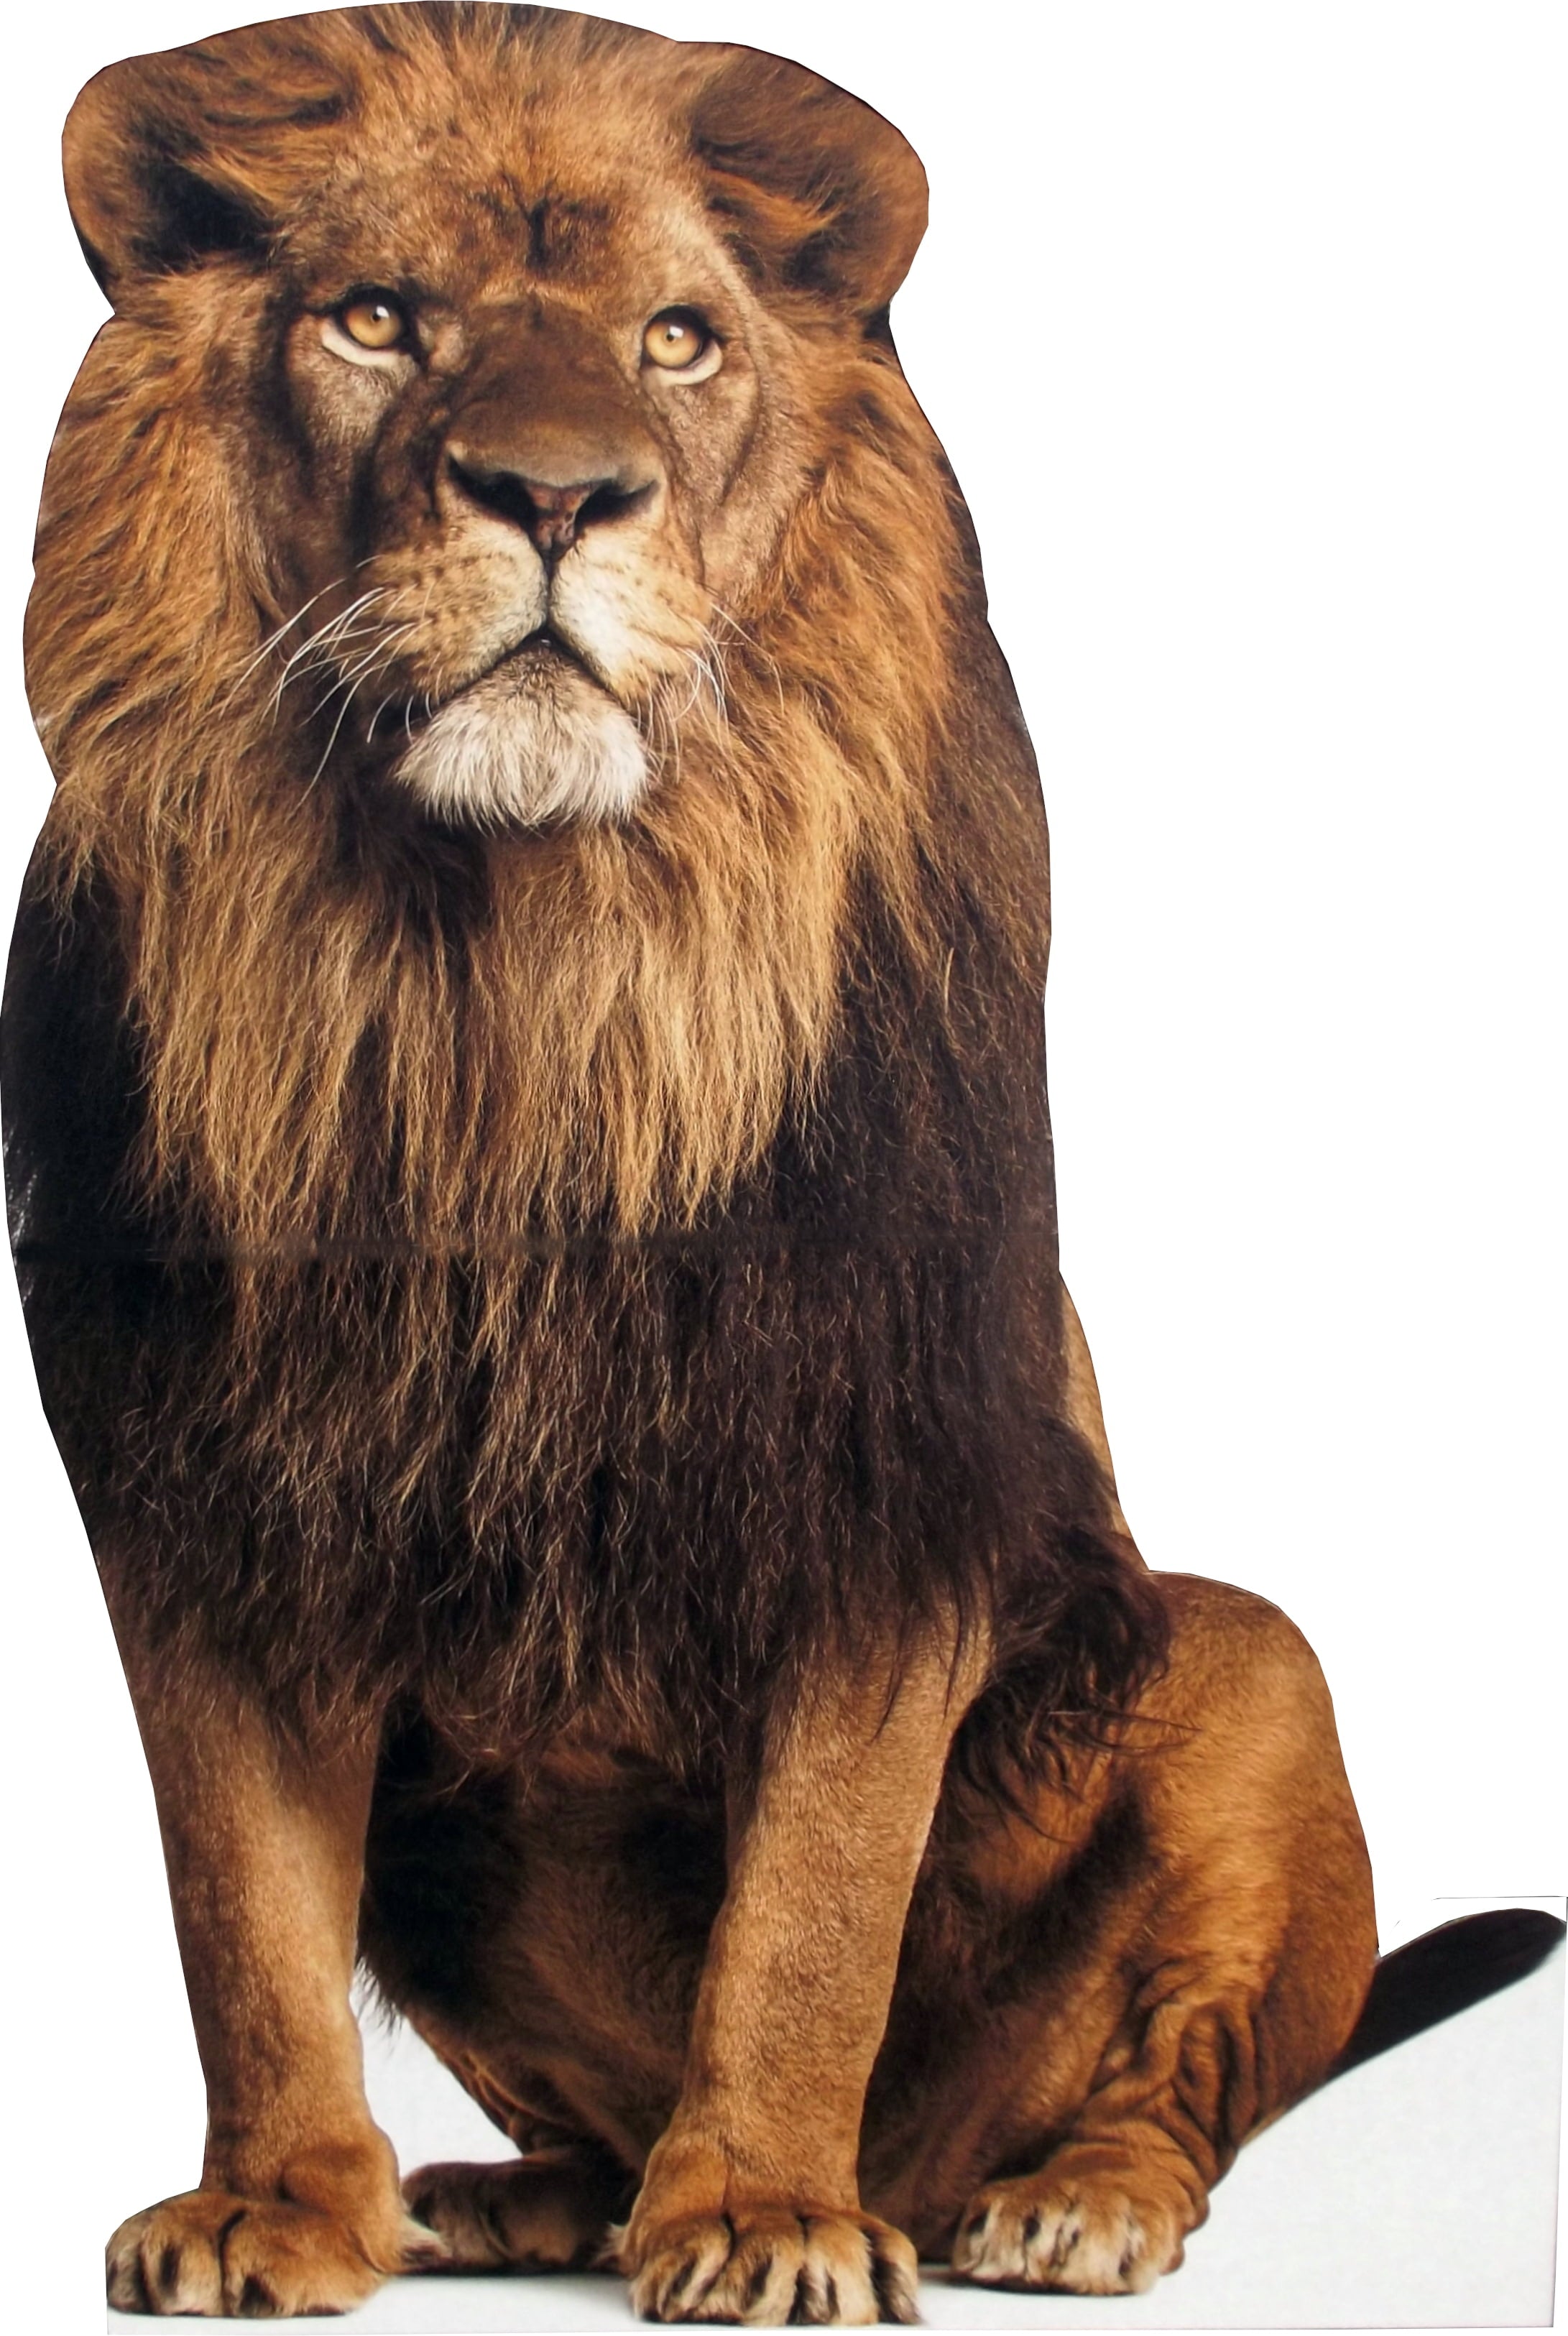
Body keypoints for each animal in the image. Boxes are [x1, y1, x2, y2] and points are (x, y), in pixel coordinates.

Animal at [6, 4, 1555, 2324]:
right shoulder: (194, 1484)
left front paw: (756, 2211)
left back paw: (1045, 2201)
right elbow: (240, 1909)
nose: (557, 494)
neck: (505, 977)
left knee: (1173, 2083)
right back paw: (520, 2192)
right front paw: (276, 2207)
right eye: (376, 320)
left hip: (1246, 1657)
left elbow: (813, 1906)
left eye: (677, 342)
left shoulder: (876, 1463)